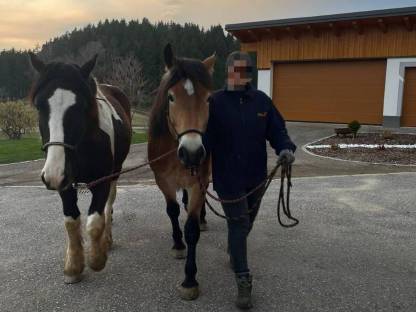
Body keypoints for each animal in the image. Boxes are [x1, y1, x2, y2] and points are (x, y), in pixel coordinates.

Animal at [28, 53, 132, 282]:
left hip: (115, 172)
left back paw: (107, 239)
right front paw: (73, 265)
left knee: (108, 204)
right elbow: (71, 220)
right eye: (39, 106)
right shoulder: (64, 182)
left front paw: (96, 258)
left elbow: (94, 222)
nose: (52, 174)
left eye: (80, 106)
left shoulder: (102, 180)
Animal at [149, 44, 214, 300]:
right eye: (171, 97)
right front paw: (178, 245)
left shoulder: (198, 182)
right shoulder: (163, 181)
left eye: (208, 98)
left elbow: (192, 228)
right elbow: (172, 211)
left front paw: (189, 279)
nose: (192, 153)